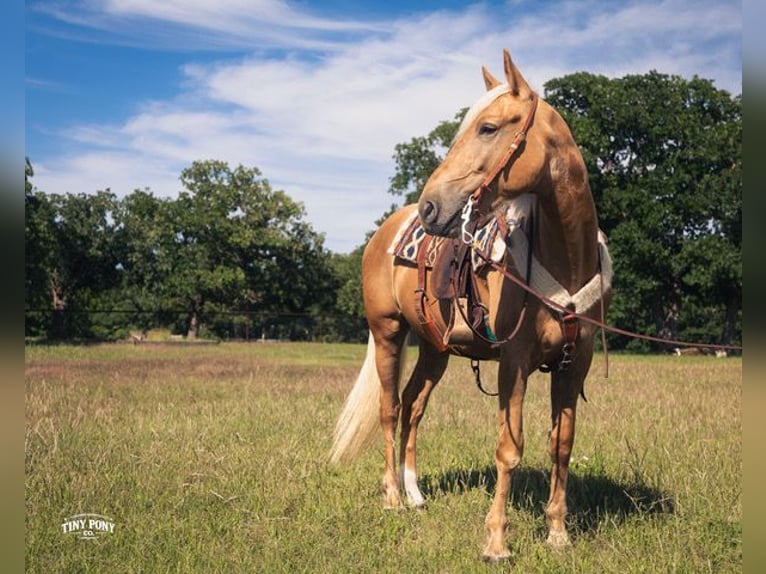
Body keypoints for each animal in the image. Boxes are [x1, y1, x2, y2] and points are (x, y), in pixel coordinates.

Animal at [330, 49, 612, 561]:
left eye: (489, 127)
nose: (430, 208)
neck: (563, 259)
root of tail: (386, 230)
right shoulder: (514, 363)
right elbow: (509, 449)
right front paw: (496, 541)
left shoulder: (573, 363)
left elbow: (561, 445)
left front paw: (558, 532)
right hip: (388, 333)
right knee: (388, 408)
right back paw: (392, 497)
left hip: (434, 349)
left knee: (412, 405)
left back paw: (415, 493)